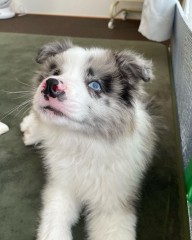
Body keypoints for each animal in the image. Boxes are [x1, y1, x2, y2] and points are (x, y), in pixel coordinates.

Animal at [20, 40, 156, 240]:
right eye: (56, 72)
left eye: (95, 85)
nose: (51, 84)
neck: (82, 142)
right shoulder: (61, 186)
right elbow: (54, 225)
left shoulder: (113, 206)